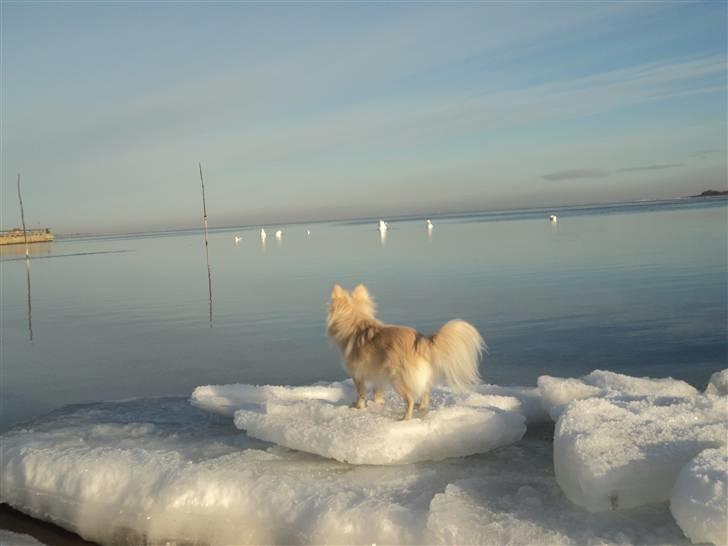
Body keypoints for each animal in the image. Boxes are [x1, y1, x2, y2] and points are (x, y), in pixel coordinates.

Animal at [328, 282, 486, 418]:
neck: (357, 324)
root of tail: (422, 342)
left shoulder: (357, 374)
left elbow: (361, 392)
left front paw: (358, 406)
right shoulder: (377, 372)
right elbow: (377, 390)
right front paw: (378, 402)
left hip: (397, 379)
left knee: (410, 399)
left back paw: (405, 418)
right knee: (425, 391)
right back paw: (421, 408)